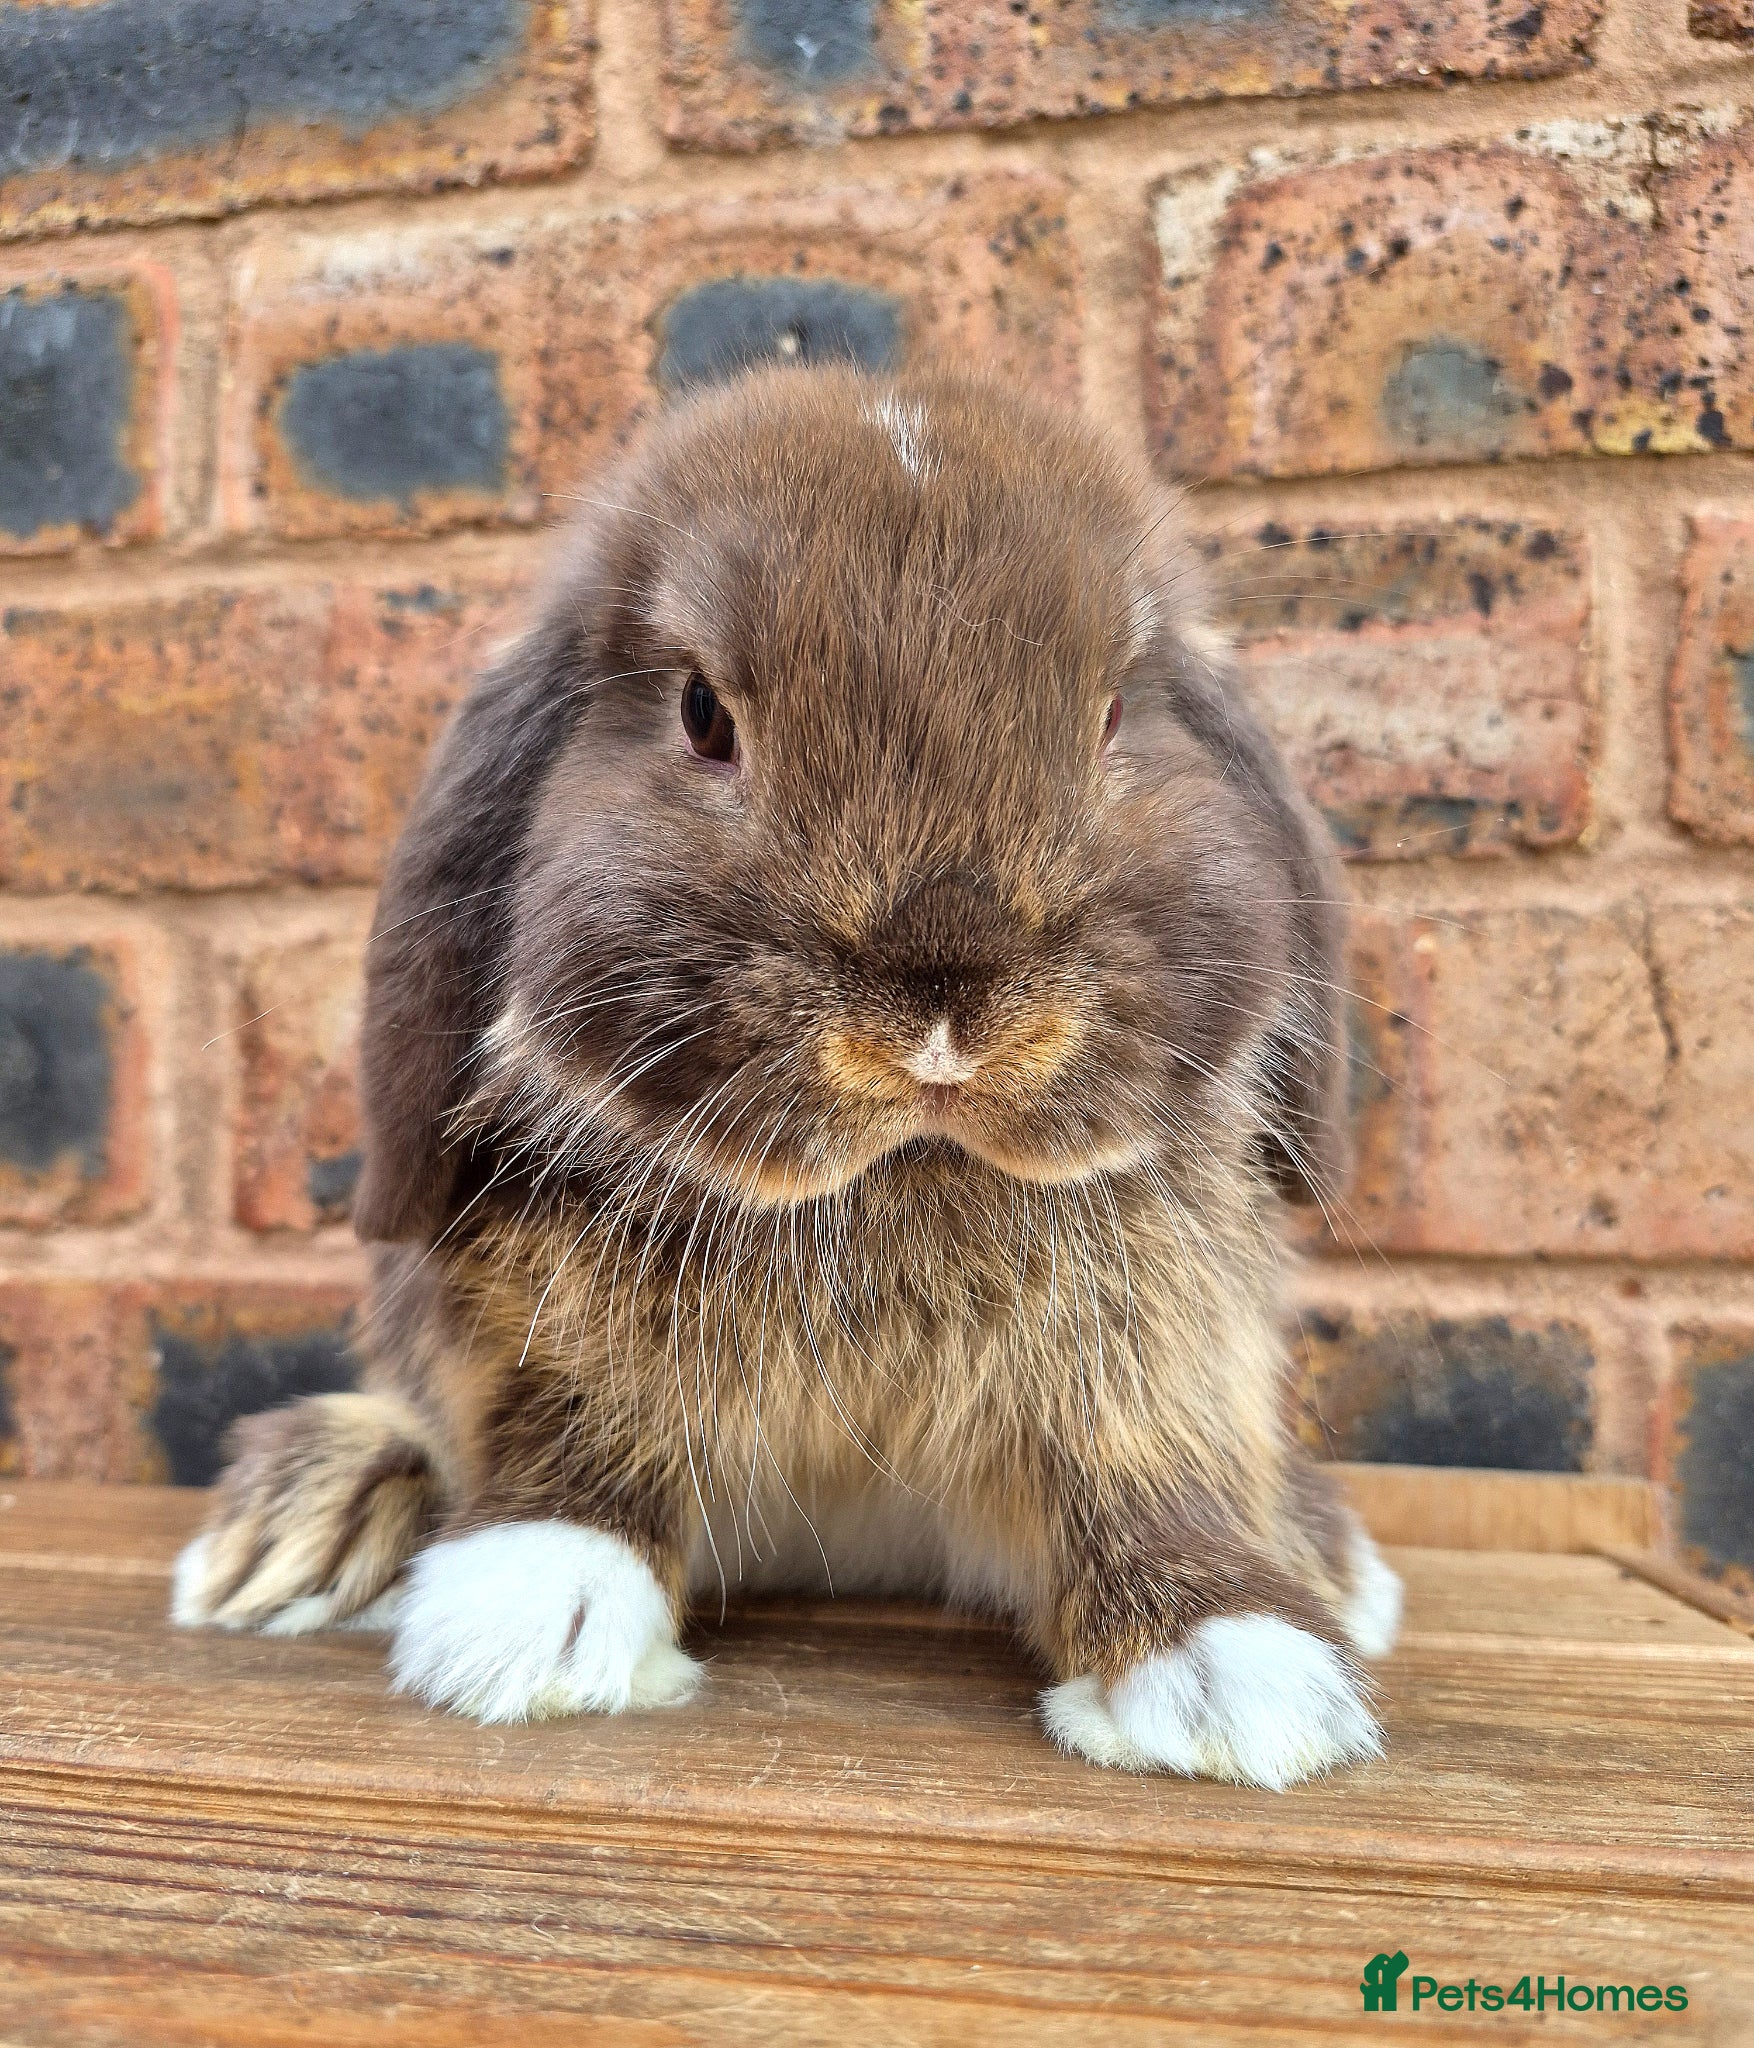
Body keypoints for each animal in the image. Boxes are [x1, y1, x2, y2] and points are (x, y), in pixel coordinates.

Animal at [172, 365, 1402, 1787]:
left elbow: (1147, 1471)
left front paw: (1229, 1672)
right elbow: (575, 1429)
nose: (942, 1012)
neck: (898, 1177)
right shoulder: (547, 1312)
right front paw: (539, 1617)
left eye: (1113, 716)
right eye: (703, 714)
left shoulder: (1148, 1348)